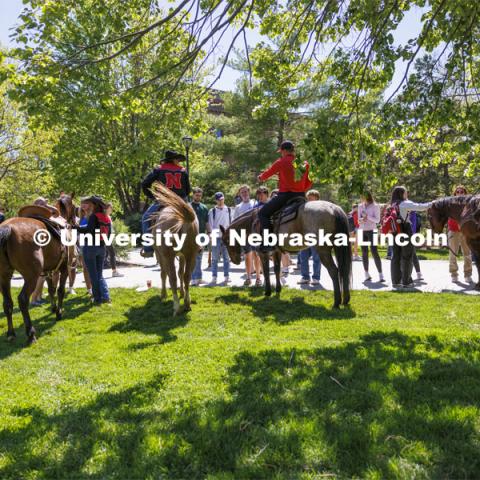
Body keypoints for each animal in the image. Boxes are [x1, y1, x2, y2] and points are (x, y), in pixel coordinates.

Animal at [0, 196, 76, 344]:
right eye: (75, 207)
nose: (75, 222)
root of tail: (8, 228)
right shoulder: (64, 268)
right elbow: (60, 290)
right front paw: (58, 312)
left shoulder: (47, 271)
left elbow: (51, 289)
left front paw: (53, 308)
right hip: (31, 277)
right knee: (23, 300)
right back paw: (31, 333)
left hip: (4, 276)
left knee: (7, 303)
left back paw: (11, 333)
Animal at [152, 183, 201, 316]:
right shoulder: (183, 256)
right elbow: (181, 273)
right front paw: (182, 293)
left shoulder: (160, 254)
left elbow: (164, 274)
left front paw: (163, 294)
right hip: (191, 255)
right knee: (186, 276)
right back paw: (187, 303)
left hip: (168, 256)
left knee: (171, 277)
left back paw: (176, 307)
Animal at [222, 200, 352, 308]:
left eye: (226, 241)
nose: (235, 261)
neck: (253, 222)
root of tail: (333, 208)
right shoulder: (276, 252)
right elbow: (277, 269)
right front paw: (278, 290)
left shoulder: (262, 253)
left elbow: (266, 271)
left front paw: (267, 291)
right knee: (344, 270)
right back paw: (345, 300)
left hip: (323, 251)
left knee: (334, 271)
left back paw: (336, 302)